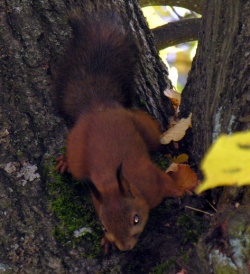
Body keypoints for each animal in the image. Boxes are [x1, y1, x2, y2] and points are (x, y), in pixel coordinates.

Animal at [54, 10, 188, 253]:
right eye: (104, 226)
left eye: (135, 219)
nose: (125, 247)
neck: (110, 182)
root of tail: (98, 106)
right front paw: (108, 241)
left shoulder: (152, 178)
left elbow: (170, 185)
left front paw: (183, 191)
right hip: (77, 149)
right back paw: (65, 162)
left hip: (144, 127)